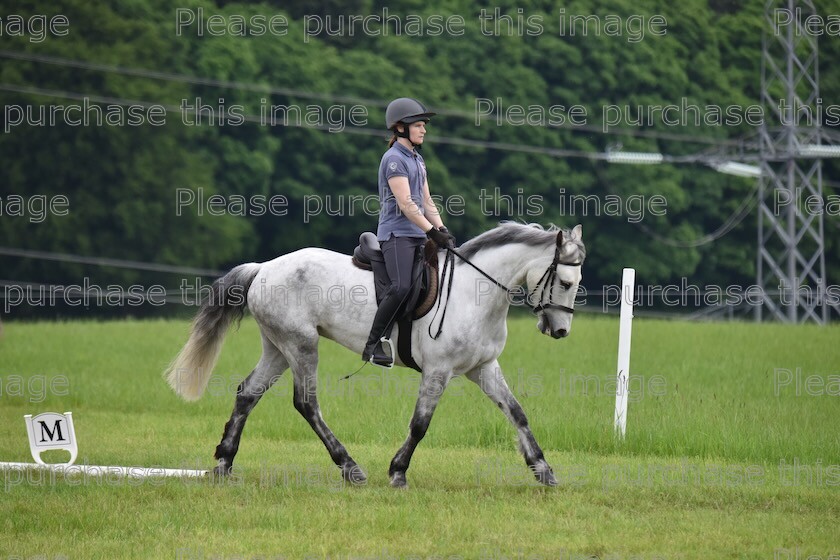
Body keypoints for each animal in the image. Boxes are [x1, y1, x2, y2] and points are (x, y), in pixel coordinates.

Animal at [164, 221, 584, 488]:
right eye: (565, 282)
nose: (560, 331)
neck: (475, 292)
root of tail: (264, 267)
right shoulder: (439, 370)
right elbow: (420, 424)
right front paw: (398, 471)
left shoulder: (482, 367)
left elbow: (516, 412)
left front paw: (543, 469)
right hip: (301, 344)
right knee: (306, 404)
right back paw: (349, 467)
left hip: (278, 347)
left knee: (247, 394)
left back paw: (224, 462)